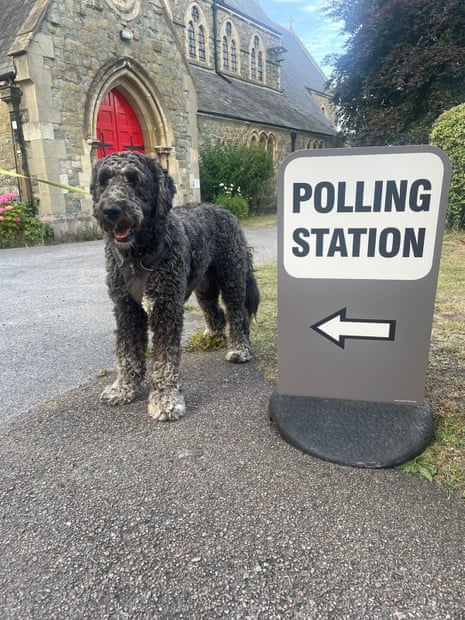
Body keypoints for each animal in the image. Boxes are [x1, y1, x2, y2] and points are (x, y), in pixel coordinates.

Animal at [89, 150, 258, 422]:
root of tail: (223, 208)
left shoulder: (165, 309)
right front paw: (123, 388)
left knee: (237, 315)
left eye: (134, 180)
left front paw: (165, 399)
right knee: (216, 313)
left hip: (232, 278)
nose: (111, 209)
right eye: (103, 180)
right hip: (204, 287)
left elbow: (164, 362)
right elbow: (127, 353)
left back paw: (239, 348)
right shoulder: (126, 309)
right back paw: (213, 335)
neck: (138, 256)